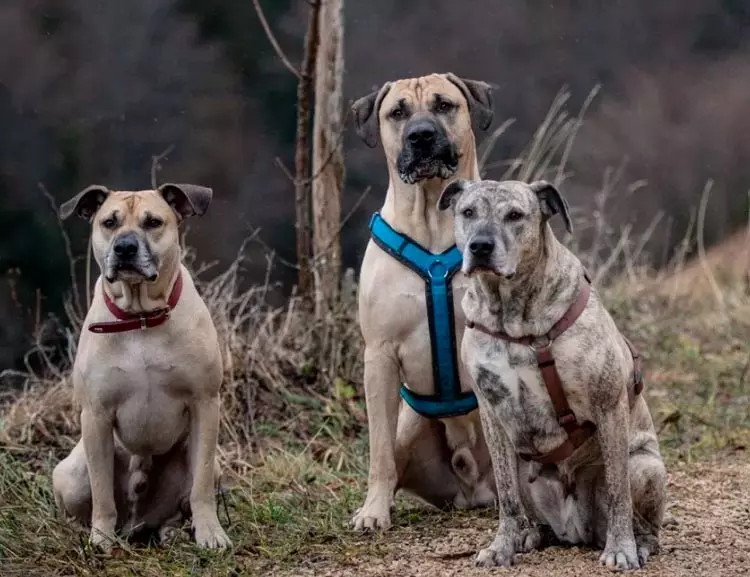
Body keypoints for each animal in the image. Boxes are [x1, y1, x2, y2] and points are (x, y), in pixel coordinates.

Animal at [51, 184, 231, 548]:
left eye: (153, 222)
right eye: (109, 222)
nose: (125, 246)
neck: (141, 317)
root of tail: (135, 524)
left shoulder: (205, 404)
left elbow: (201, 484)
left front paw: (210, 532)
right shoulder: (96, 415)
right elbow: (102, 491)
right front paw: (100, 538)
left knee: (181, 502)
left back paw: (173, 531)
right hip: (70, 476)